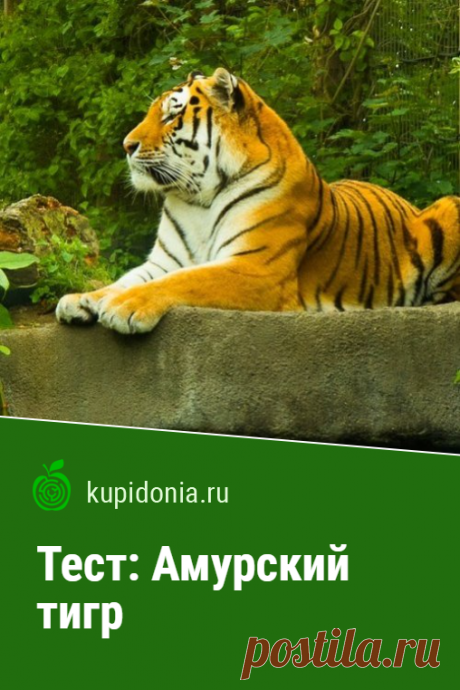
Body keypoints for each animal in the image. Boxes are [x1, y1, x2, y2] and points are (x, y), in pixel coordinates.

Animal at [56, 67, 460, 333]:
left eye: (172, 114)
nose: (126, 145)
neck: (197, 198)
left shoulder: (257, 267)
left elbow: (183, 282)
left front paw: (123, 306)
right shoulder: (164, 261)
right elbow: (127, 279)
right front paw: (83, 298)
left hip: (449, 206)